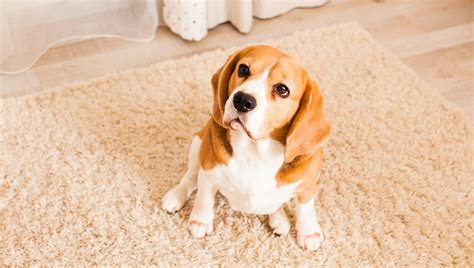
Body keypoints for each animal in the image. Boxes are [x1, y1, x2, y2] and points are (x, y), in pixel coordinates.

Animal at [161, 44, 332, 251]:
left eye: (282, 89)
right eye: (243, 69)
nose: (242, 100)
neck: (254, 152)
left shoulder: (308, 185)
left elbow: (306, 209)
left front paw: (308, 232)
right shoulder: (209, 172)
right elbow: (204, 197)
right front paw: (200, 221)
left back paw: (279, 218)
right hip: (198, 143)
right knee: (191, 177)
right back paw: (176, 195)